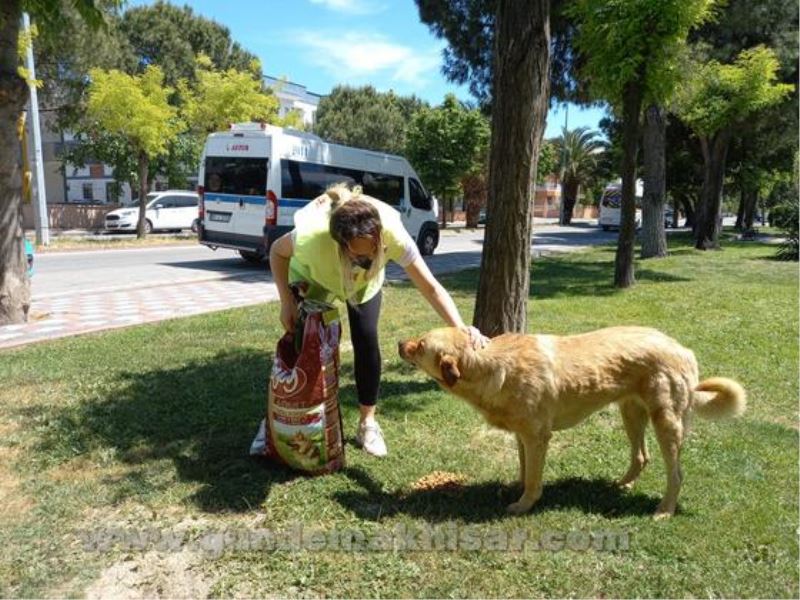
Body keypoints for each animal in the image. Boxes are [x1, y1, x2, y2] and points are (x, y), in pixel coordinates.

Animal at [396, 326, 748, 516]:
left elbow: (534, 480)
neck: (489, 366)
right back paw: (621, 485)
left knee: (676, 475)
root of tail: (683, 349)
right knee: (641, 456)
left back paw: (664, 510)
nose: (399, 343)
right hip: (631, 414)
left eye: (421, 344)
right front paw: (518, 490)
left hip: (666, 424)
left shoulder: (538, 437)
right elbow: (525, 471)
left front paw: (524, 505)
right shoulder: (525, 437)